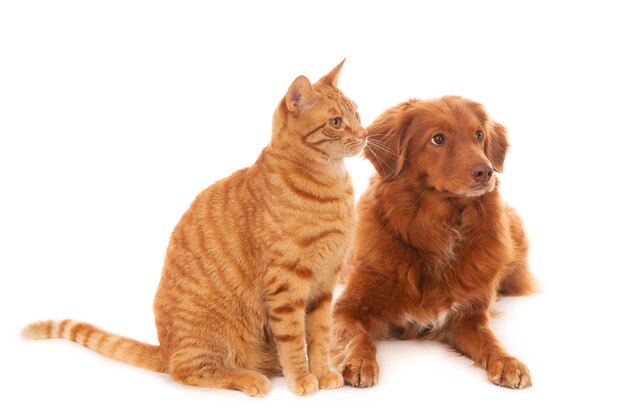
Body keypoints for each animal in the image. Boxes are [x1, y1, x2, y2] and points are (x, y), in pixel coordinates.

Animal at [22, 60, 368, 394]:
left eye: (357, 114)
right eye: (336, 122)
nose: (364, 135)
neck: (329, 183)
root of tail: (164, 348)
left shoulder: (325, 283)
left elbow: (320, 336)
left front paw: (322, 373)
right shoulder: (286, 284)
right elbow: (295, 340)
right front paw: (301, 379)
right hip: (210, 334)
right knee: (189, 371)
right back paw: (249, 379)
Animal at [332, 96, 536, 388]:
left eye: (479, 135)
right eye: (438, 138)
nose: (486, 172)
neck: (437, 232)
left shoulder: (468, 316)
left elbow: (490, 340)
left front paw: (507, 361)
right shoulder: (347, 308)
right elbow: (355, 334)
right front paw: (359, 360)